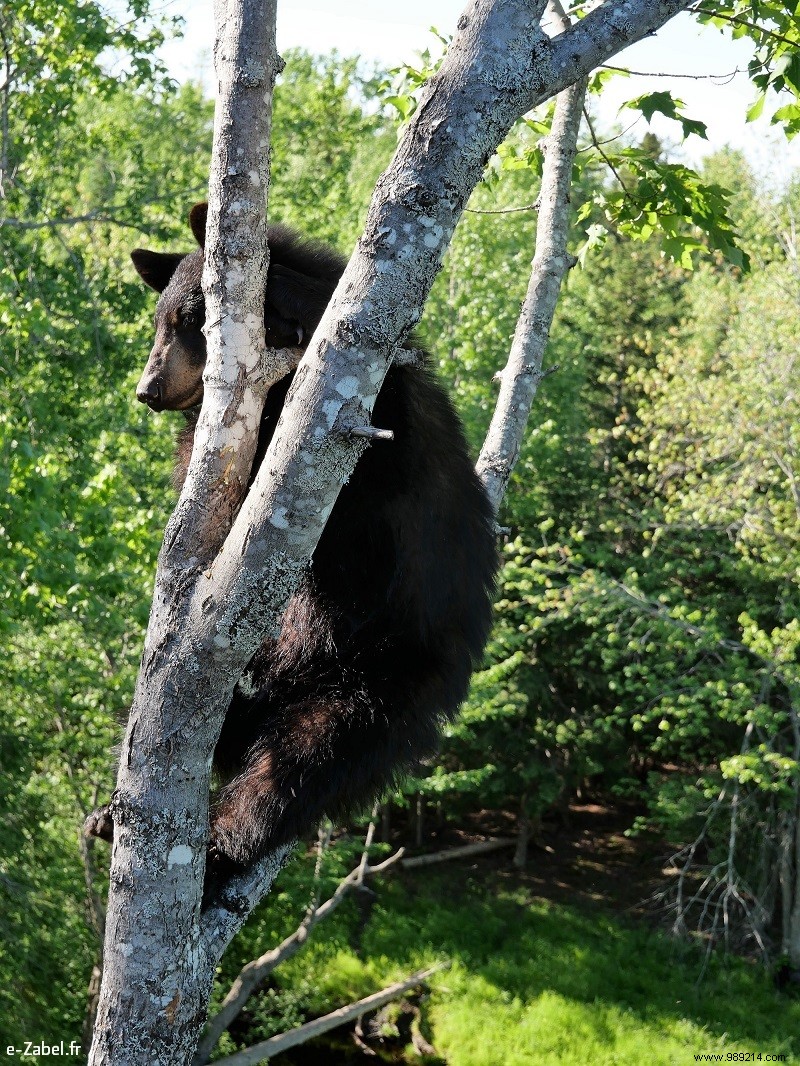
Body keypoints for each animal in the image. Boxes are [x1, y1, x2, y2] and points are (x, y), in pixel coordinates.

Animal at [90, 203, 497, 877]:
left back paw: (221, 847)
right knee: (231, 728)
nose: (148, 389)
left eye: (191, 320)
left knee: (294, 767)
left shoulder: (381, 415)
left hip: (377, 682)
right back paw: (110, 812)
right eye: (158, 322)